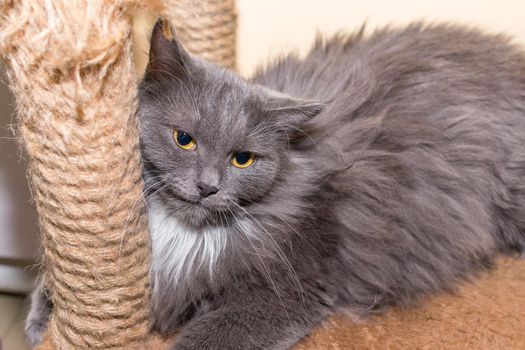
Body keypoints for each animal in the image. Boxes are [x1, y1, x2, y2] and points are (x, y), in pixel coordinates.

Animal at [26, 21, 524, 350]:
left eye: (242, 159)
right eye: (184, 140)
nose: (207, 186)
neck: (187, 235)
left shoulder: (285, 292)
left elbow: (204, 339)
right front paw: (40, 320)